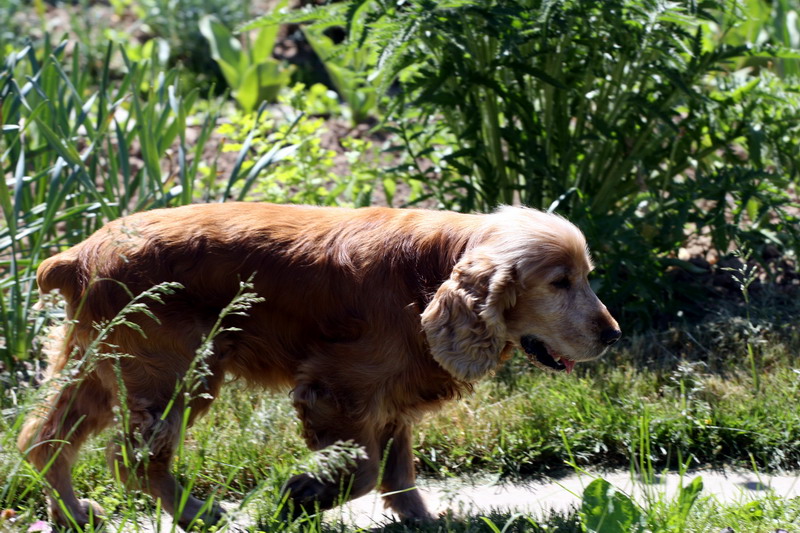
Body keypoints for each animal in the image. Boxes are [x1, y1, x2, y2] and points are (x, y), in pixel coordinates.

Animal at [17, 202, 620, 524]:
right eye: (560, 283)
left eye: (587, 276)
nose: (613, 335)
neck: (431, 271)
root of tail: (76, 255)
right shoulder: (337, 388)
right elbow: (364, 469)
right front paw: (302, 498)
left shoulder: (389, 395)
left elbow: (397, 469)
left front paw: (424, 522)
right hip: (179, 371)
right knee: (134, 461)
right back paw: (198, 514)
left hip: (97, 366)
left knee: (41, 440)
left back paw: (73, 514)